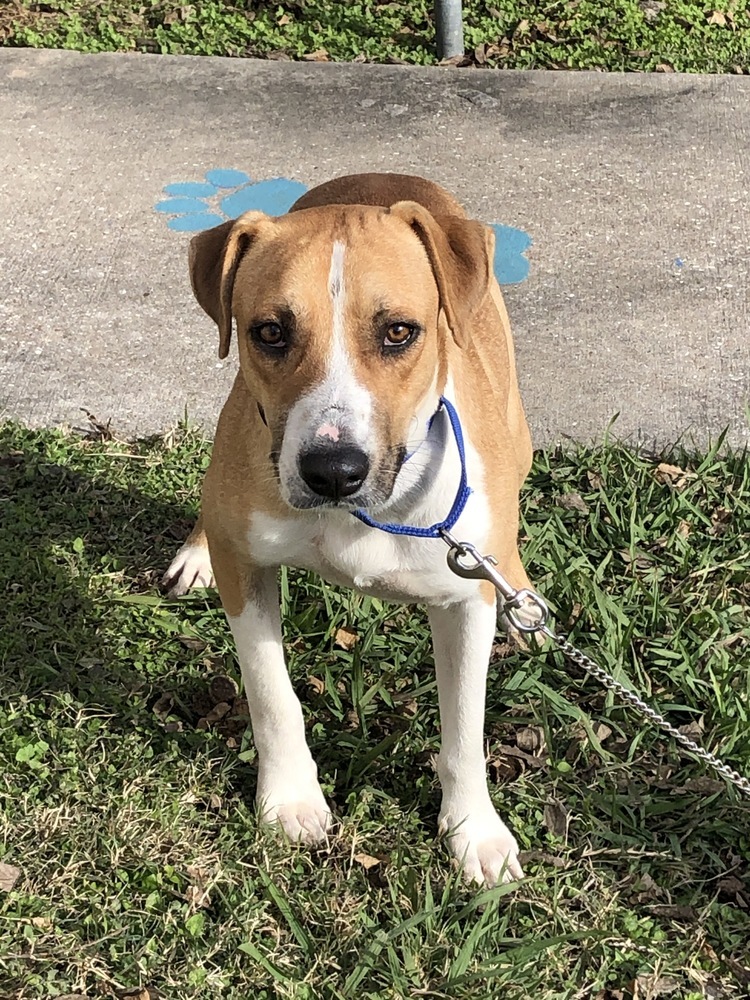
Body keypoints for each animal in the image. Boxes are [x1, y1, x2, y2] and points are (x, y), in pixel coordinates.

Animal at [166, 172, 536, 884]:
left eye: (398, 332)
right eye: (270, 331)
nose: (332, 471)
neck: (362, 512)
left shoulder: (464, 602)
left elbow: (464, 728)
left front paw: (474, 830)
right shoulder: (247, 570)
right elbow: (272, 694)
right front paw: (290, 798)